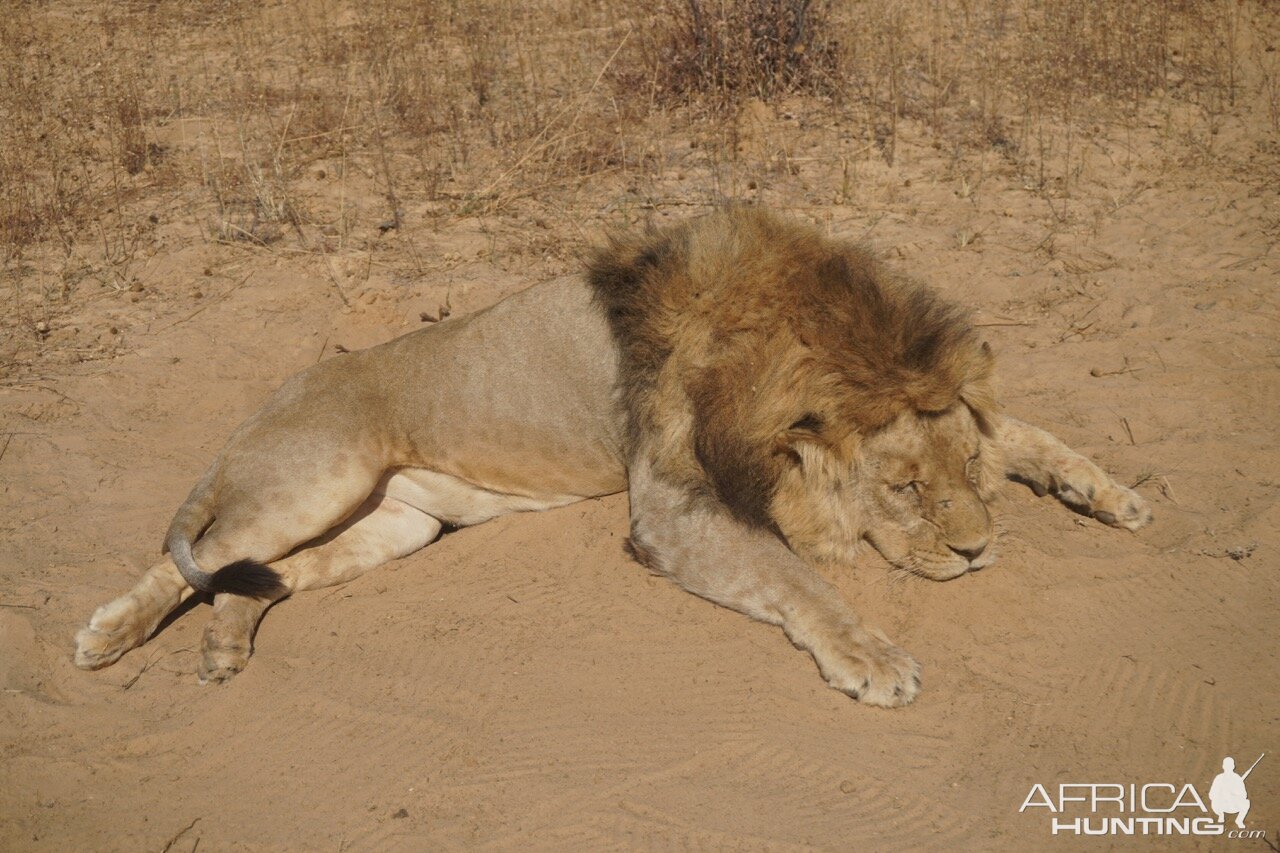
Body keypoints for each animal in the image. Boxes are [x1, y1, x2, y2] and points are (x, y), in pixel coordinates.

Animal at [72, 204, 1152, 701]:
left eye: (961, 477)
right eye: (903, 487)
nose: (979, 552)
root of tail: (263, 405)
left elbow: (1022, 432)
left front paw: (1108, 491)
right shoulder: (672, 506)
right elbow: (798, 579)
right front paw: (872, 656)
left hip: (397, 525)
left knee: (263, 577)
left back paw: (224, 645)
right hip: (317, 475)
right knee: (196, 558)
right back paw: (110, 634)